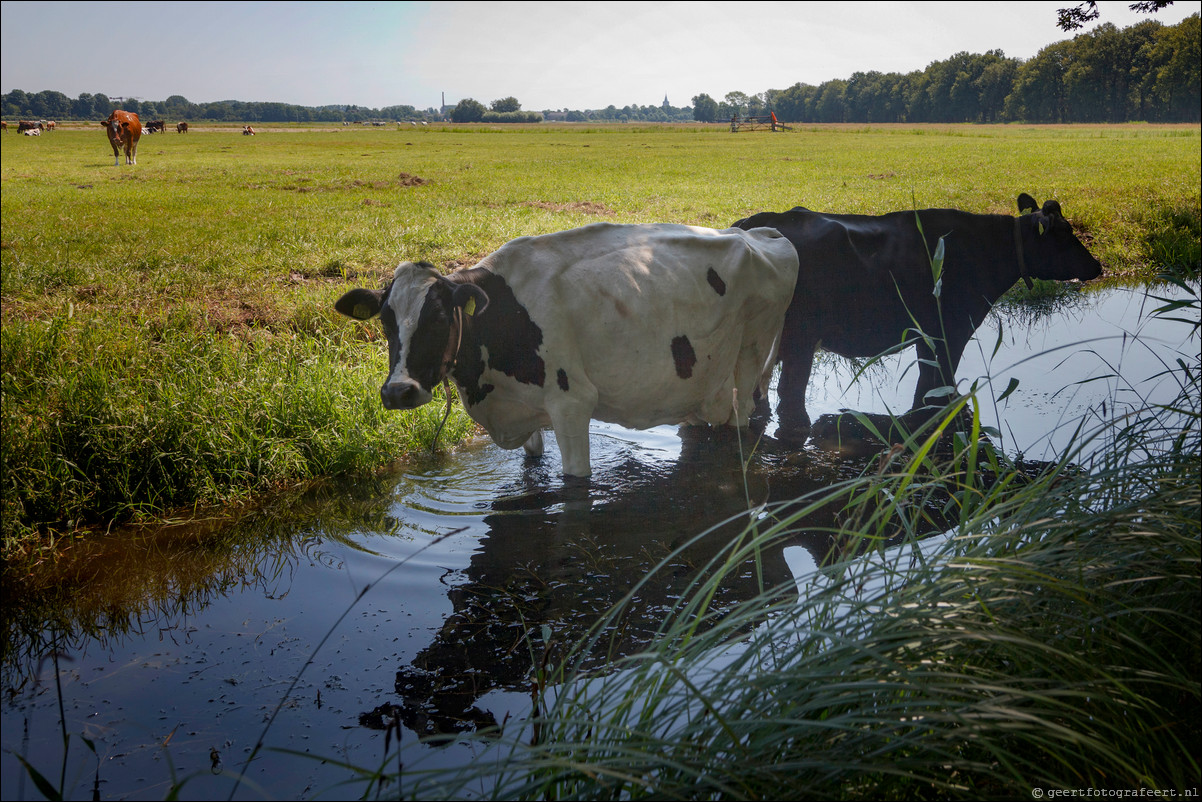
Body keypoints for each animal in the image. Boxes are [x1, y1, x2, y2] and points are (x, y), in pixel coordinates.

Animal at [334, 222, 798, 476]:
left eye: (440, 318)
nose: (398, 391)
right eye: (385, 321)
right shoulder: (523, 409)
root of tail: (761, 233)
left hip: (746, 368)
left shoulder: (572, 402)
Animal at [726, 195, 1101, 444]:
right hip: (799, 339)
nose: (1097, 265)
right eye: (1066, 234)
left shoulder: (928, 337)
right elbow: (939, 387)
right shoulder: (949, 332)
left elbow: (927, 387)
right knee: (789, 392)